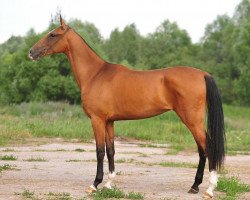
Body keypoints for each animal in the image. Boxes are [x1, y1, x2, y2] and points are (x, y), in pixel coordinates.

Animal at [28, 16, 225, 198]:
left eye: (53, 34)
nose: (31, 52)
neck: (95, 75)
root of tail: (203, 74)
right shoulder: (109, 122)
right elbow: (111, 150)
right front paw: (109, 183)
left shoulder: (97, 120)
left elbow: (99, 151)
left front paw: (95, 184)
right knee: (202, 150)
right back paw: (195, 186)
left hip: (191, 120)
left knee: (207, 147)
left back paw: (209, 189)